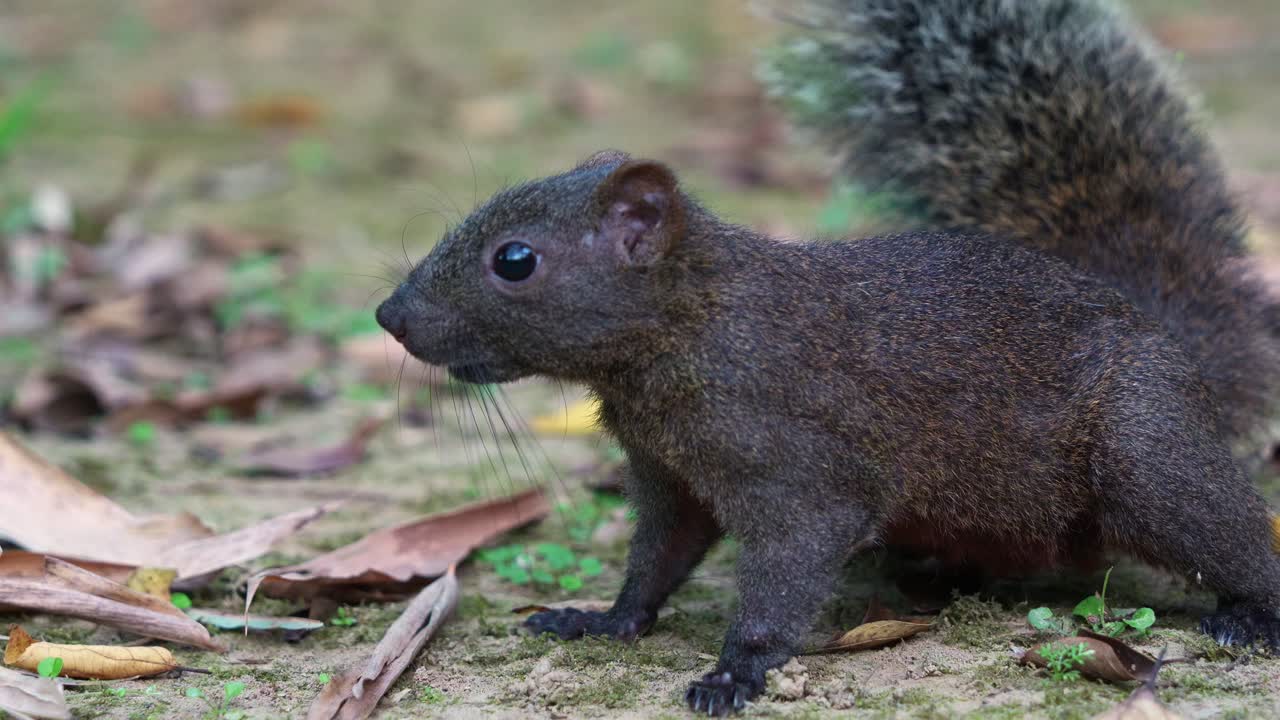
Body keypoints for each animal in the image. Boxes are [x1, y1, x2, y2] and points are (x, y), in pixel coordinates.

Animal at [377, 0, 1280, 714]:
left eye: (515, 260)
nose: (390, 316)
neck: (689, 331)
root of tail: (1173, 339)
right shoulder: (670, 475)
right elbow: (657, 560)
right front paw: (602, 618)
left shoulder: (800, 470)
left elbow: (789, 566)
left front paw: (735, 672)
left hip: (1143, 449)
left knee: (1229, 532)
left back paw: (1250, 615)